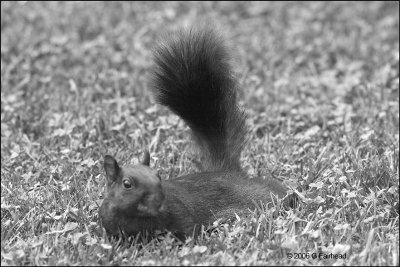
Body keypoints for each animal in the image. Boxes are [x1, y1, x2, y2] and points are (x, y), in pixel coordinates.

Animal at [98, 27, 290, 241]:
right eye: (127, 184)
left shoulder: (182, 214)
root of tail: (226, 171)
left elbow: (190, 230)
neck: (138, 219)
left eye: (158, 175)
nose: (159, 199)